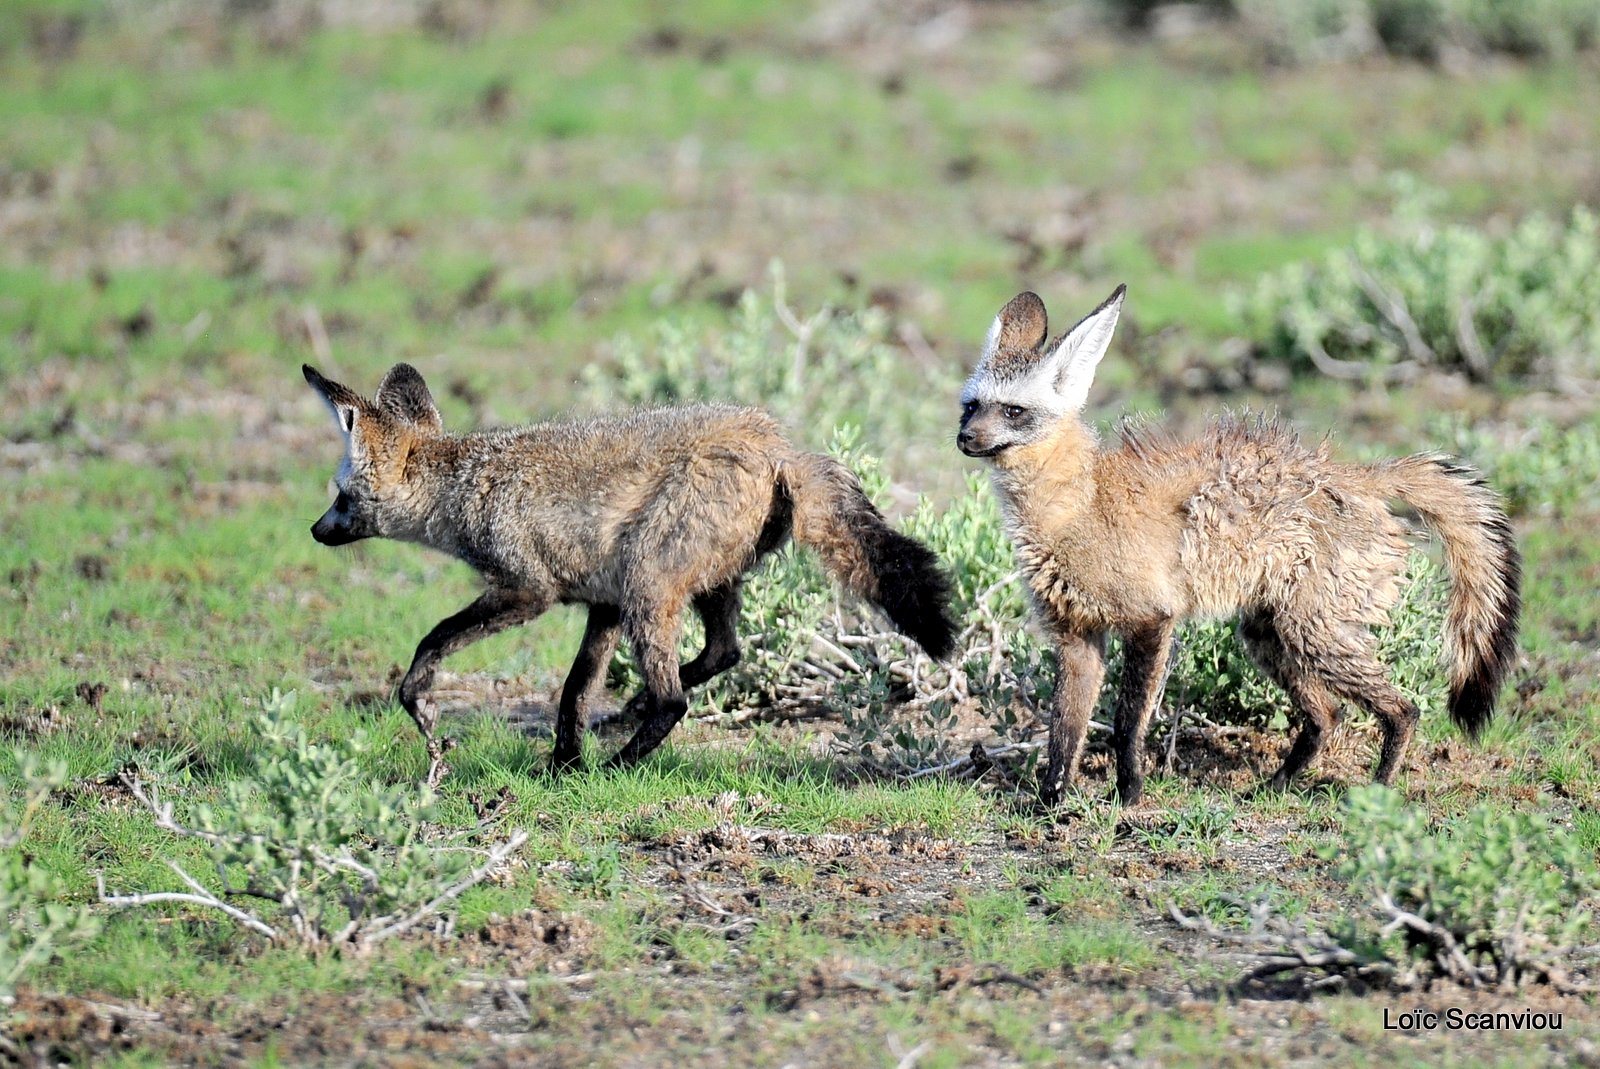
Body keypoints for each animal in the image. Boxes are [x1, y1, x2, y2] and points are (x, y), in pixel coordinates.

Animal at [302, 363, 947, 780]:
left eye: (339, 494)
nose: (313, 531)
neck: (467, 486)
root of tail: (776, 445)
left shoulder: (527, 592)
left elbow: (432, 640)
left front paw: (418, 696)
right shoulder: (603, 604)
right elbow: (573, 692)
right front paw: (562, 767)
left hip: (650, 584)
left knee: (675, 701)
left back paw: (618, 763)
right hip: (697, 587)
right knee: (722, 653)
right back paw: (627, 717)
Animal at [953, 283, 1516, 800]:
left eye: (1013, 411)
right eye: (971, 407)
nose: (964, 439)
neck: (1078, 507)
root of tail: (1354, 474)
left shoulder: (1152, 620)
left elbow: (1125, 723)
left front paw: (1128, 796)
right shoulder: (1075, 636)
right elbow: (1063, 732)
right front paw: (1050, 804)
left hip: (1314, 635)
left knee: (1402, 708)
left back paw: (1377, 792)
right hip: (1269, 635)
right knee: (1327, 715)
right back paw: (1276, 786)